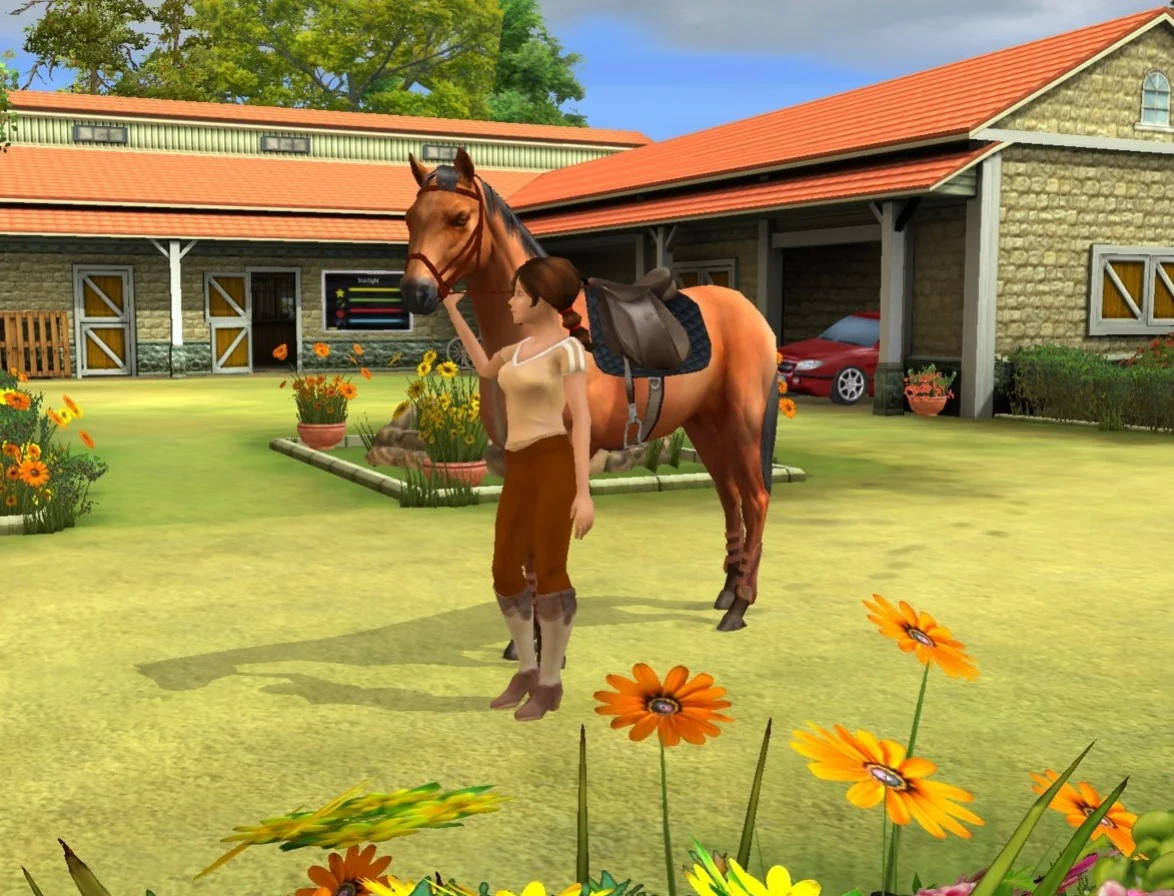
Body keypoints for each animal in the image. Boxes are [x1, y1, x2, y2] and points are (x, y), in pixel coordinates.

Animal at [400, 148, 781, 637]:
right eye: (410, 218)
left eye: (460, 218)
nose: (417, 292)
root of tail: (751, 312)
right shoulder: (516, 457)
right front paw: (524, 638)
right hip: (704, 426)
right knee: (730, 498)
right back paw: (728, 593)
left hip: (742, 424)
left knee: (755, 499)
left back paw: (740, 606)